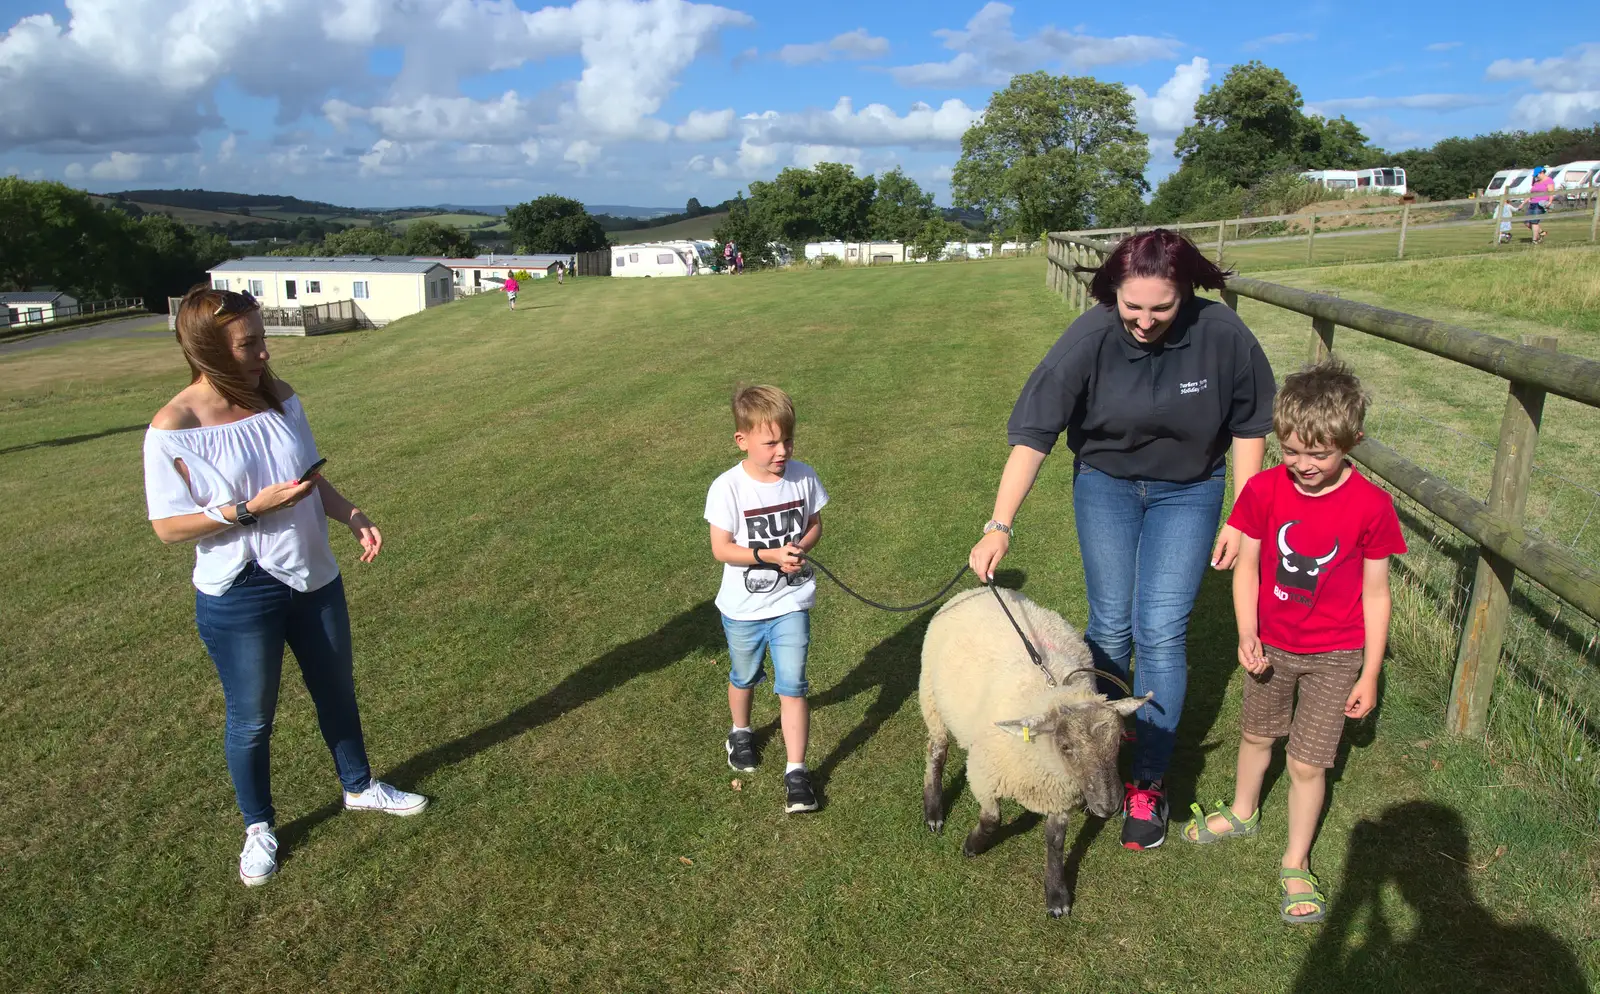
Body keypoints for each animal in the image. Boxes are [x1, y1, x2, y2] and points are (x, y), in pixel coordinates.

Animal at [915, 585, 1152, 915]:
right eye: (1066, 746)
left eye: (1119, 741)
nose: (1110, 806)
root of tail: (978, 588)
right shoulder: (984, 775)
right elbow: (992, 819)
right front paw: (973, 845)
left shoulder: (1060, 796)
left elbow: (1055, 841)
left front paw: (1057, 894)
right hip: (931, 697)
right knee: (937, 749)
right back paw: (934, 809)